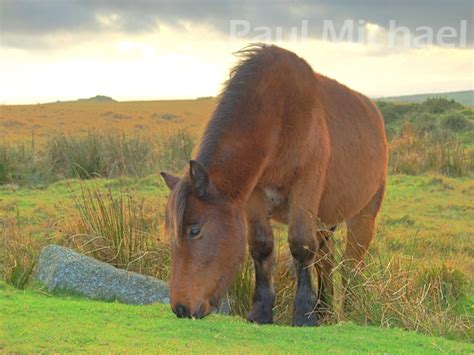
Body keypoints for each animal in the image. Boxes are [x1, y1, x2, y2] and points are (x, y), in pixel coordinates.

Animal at [161, 43, 386, 326]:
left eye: (194, 230)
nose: (181, 308)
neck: (280, 117)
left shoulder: (305, 187)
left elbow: (301, 245)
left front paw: (304, 314)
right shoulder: (254, 196)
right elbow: (261, 246)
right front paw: (261, 311)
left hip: (363, 216)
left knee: (352, 263)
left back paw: (350, 310)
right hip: (324, 220)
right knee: (325, 261)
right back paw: (324, 310)